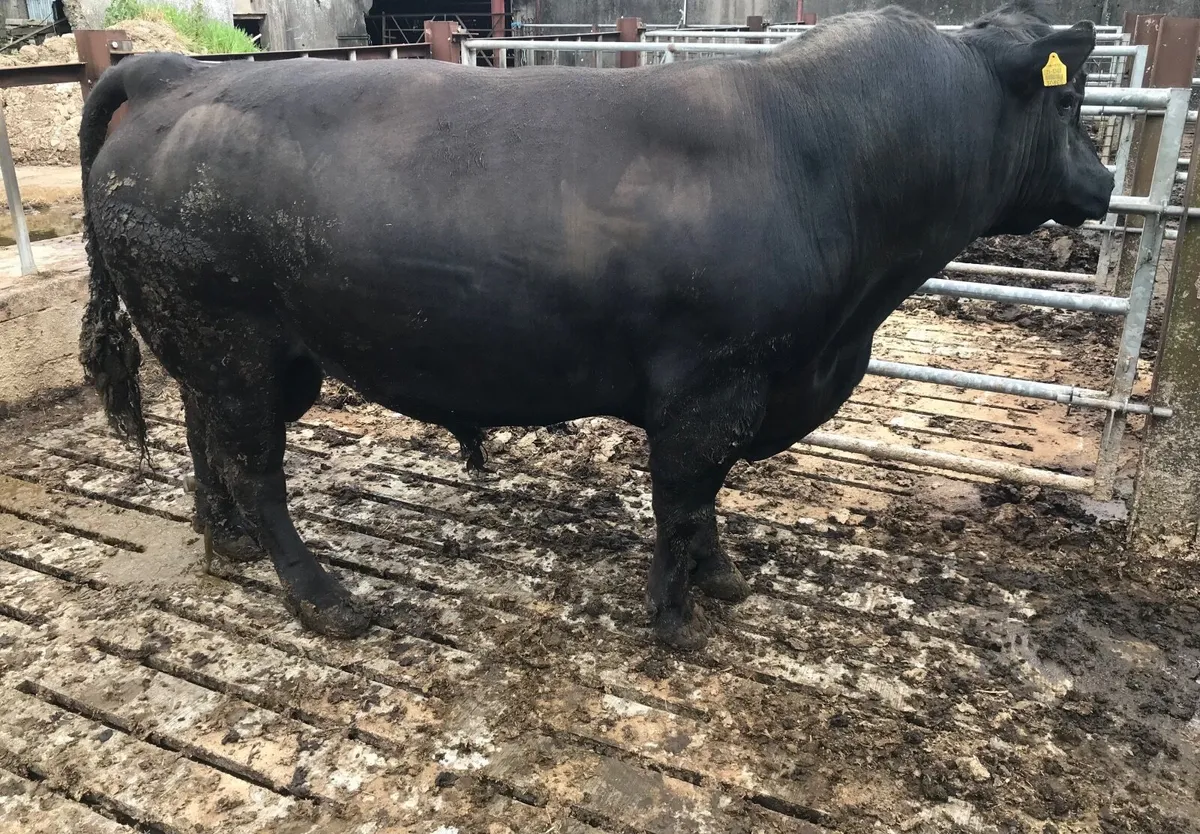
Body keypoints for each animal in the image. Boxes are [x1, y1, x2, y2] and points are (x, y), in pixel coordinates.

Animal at [77, 0, 1113, 650]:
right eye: (1069, 99)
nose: (1104, 183)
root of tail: (171, 74)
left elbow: (708, 505)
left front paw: (723, 579)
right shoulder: (711, 384)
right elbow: (686, 499)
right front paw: (677, 620)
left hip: (221, 350)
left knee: (206, 436)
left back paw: (225, 541)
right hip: (235, 342)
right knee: (256, 467)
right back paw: (321, 596)